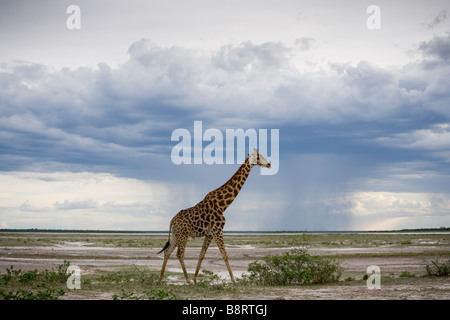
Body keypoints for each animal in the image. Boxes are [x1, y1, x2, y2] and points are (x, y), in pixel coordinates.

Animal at [157, 149, 270, 284]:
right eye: (258, 157)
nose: (269, 164)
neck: (223, 205)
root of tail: (172, 221)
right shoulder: (218, 230)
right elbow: (224, 255)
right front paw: (234, 280)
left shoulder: (210, 233)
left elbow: (201, 255)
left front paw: (196, 279)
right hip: (183, 234)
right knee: (179, 254)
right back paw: (187, 280)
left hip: (176, 234)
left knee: (167, 252)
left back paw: (160, 279)